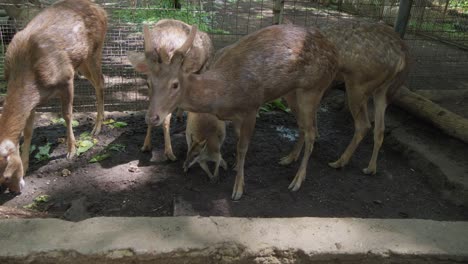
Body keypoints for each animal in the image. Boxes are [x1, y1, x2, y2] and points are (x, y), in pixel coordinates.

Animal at [0, 0, 107, 175]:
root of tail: (100, 9)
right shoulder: (33, 100)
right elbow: (28, 130)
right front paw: (25, 164)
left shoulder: (67, 77)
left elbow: (67, 115)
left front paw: (72, 150)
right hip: (82, 61)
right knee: (99, 80)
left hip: (95, 50)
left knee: (100, 82)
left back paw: (97, 128)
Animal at [282, 20, 410, 175]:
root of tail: (402, 56)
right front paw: (316, 136)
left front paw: (293, 155)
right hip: (381, 90)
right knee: (380, 128)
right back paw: (370, 168)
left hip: (358, 84)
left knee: (364, 125)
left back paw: (339, 161)